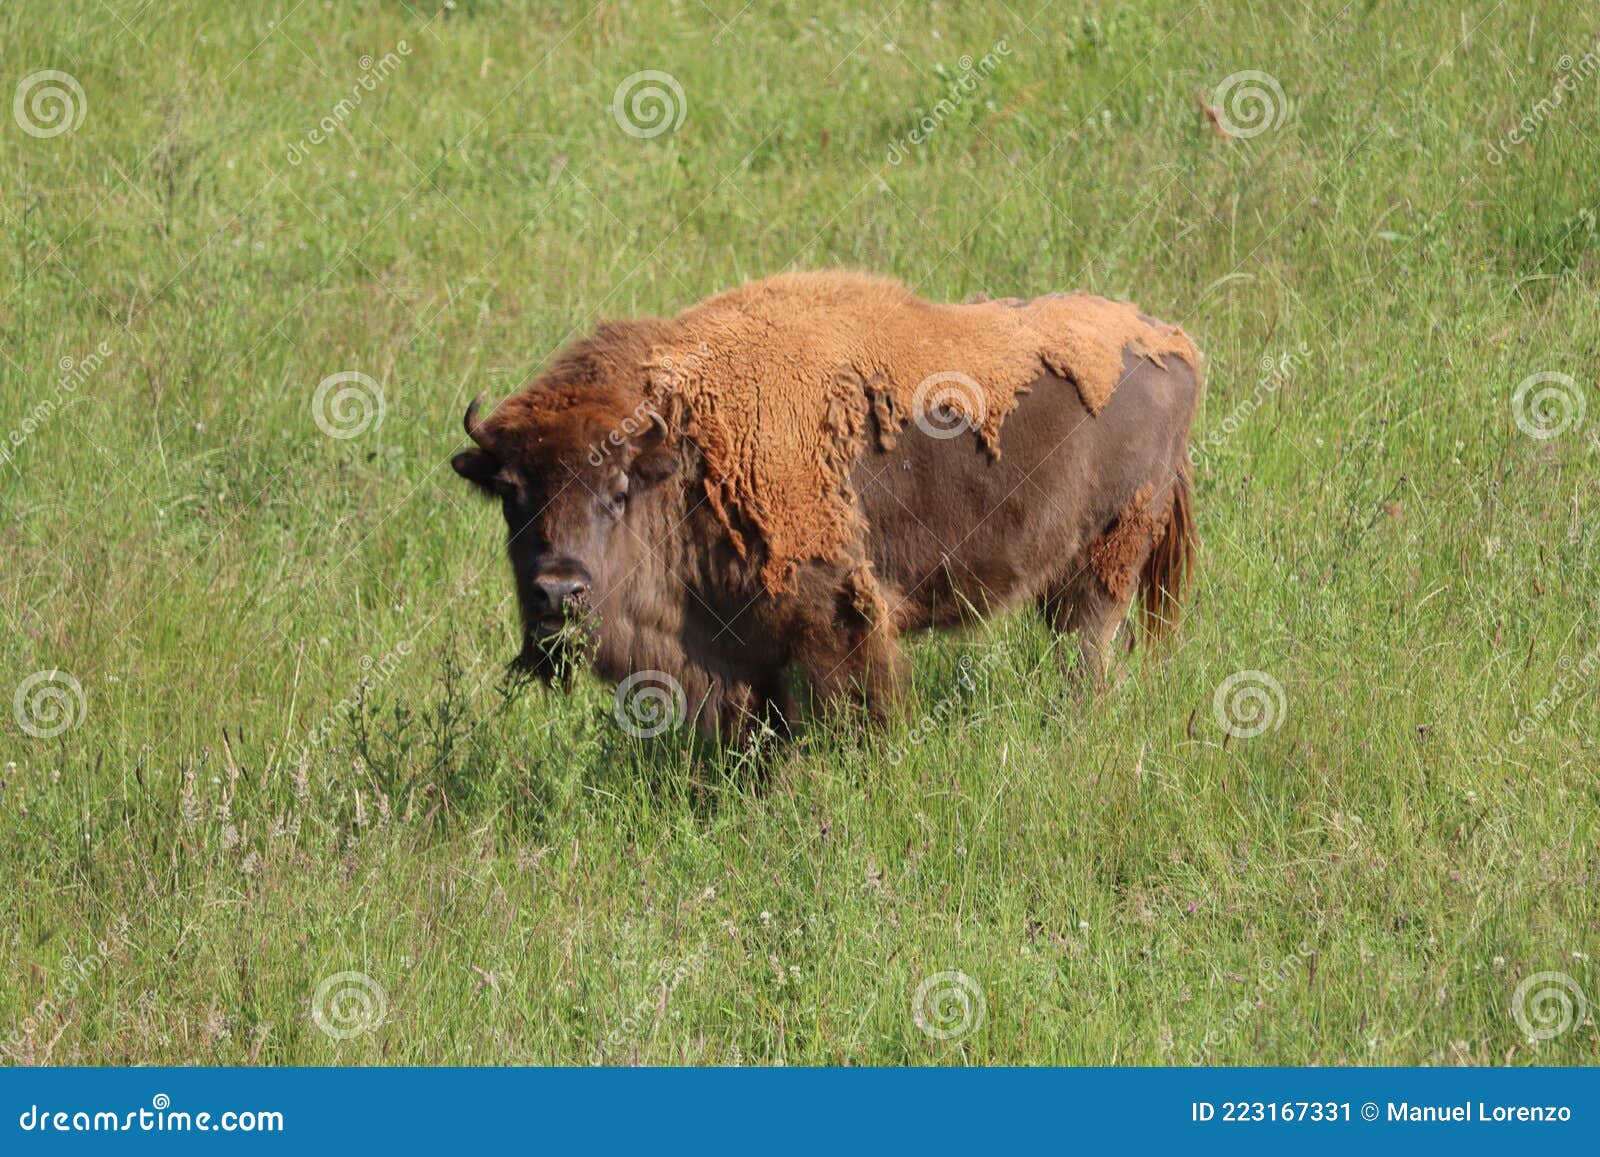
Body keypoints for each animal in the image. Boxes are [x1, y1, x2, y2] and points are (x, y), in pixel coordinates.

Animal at [454, 272, 1203, 742]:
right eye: (510, 495)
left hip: (1108, 559)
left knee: (1088, 651)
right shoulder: (739, 654)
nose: (558, 591)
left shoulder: (836, 618)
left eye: (617, 491)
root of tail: (1173, 341)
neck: (684, 444)